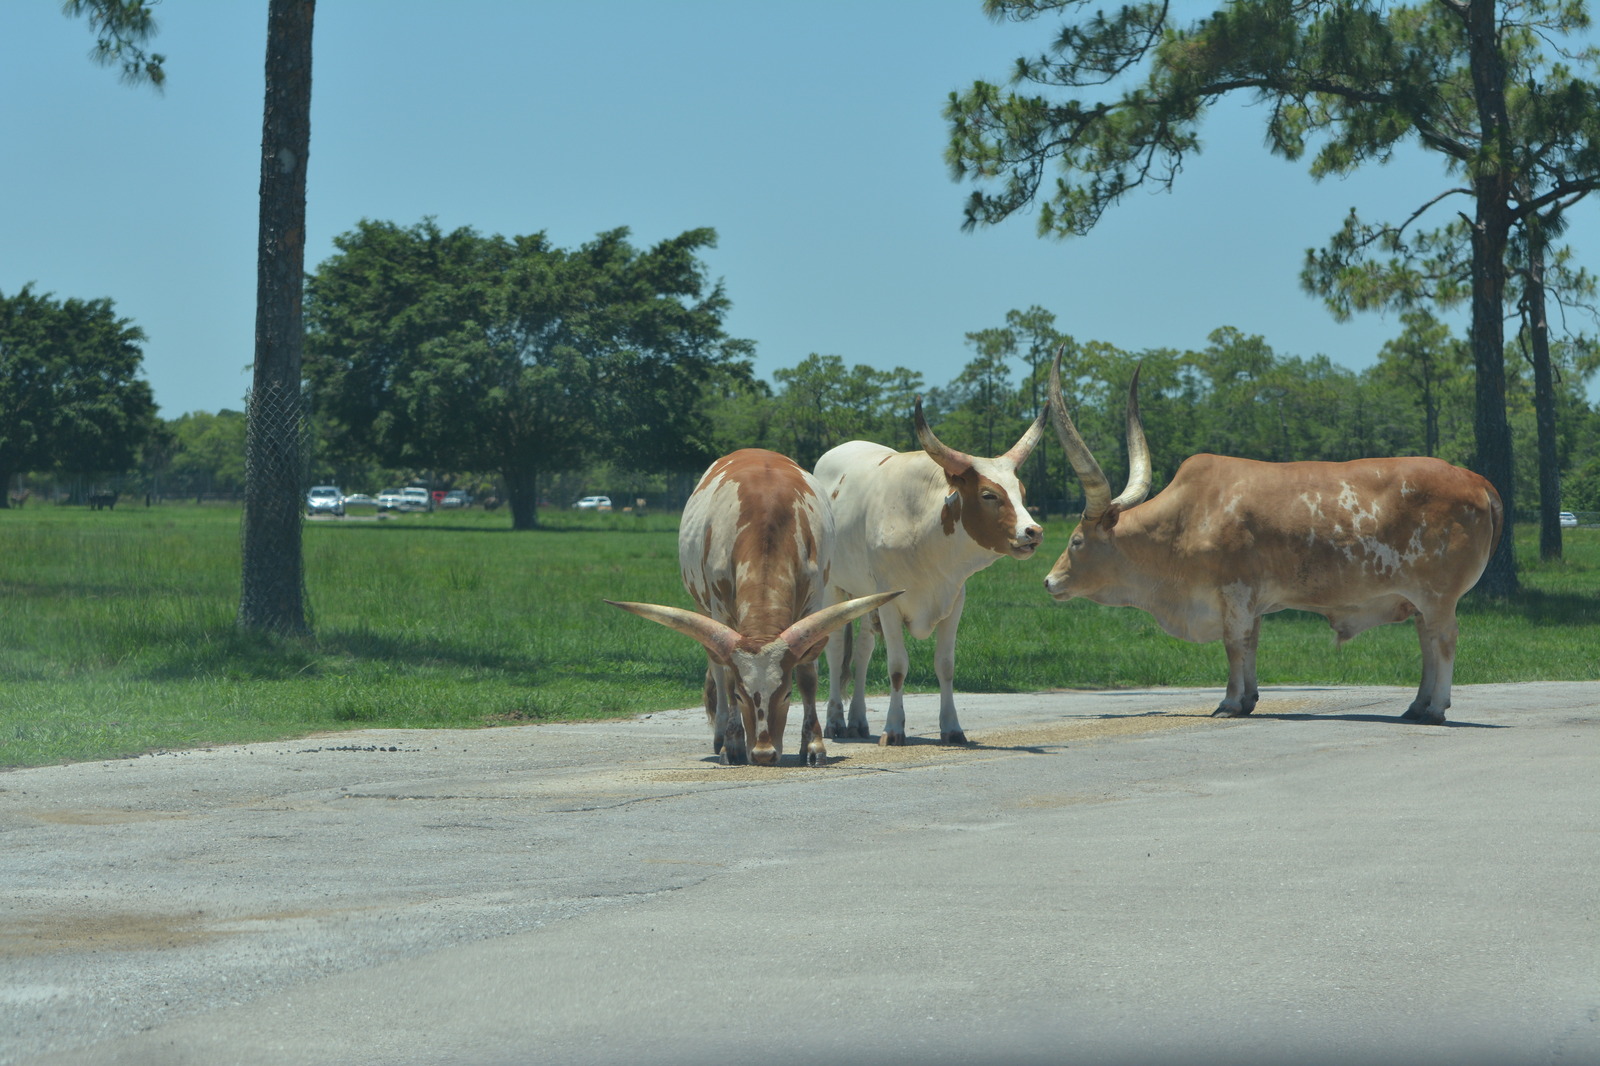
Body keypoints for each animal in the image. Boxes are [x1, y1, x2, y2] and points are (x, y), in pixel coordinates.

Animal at [604, 448, 902, 765]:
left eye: (786, 694)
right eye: (740, 696)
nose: (763, 753)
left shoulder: (813, 600)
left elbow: (808, 675)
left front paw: (813, 745)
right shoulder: (720, 607)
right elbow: (728, 678)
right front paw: (733, 744)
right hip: (703, 607)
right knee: (717, 669)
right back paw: (721, 734)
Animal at [812, 403, 1049, 742]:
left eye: (1022, 492)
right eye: (988, 495)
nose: (1033, 532)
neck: (924, 533)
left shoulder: (954, 602)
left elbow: (945, 666)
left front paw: (952, 727)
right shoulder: (890, 605)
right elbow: (897, 667)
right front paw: (893, 729)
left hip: (867, 597)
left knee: (862, 652)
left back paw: (858, 720)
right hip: (835, 588)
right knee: (834, 650)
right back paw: (834, 721)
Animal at [1043, 355, 1504, 723]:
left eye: (1076, 541)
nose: (1049, 581)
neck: (1184, 519)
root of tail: (1475, 479)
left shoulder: (1234, 593)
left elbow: (1233, 645)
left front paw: (1229, 703)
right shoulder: (1253, 603)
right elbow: (1250, 645)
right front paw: (1248, 698)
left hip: (1438, 596)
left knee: (1443, 641)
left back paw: (1434, 708)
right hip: (1423, 600)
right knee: (1427, 641)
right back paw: (1416, 706)